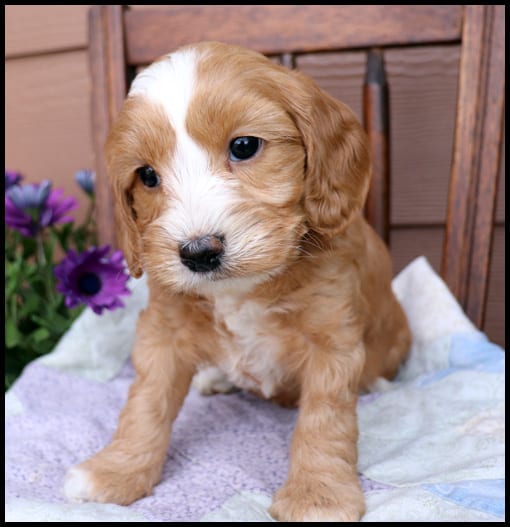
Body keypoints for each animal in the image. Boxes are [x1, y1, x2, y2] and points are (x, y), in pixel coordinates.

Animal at [63, 42, 412, 524]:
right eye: (148, 176)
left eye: (244, 146)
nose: (198, 252)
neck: (242, 288)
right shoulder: (163, 329)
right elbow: (146, 402)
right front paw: (116, 471)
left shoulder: (332, 335)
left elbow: (325, 419)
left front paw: (318, 495)